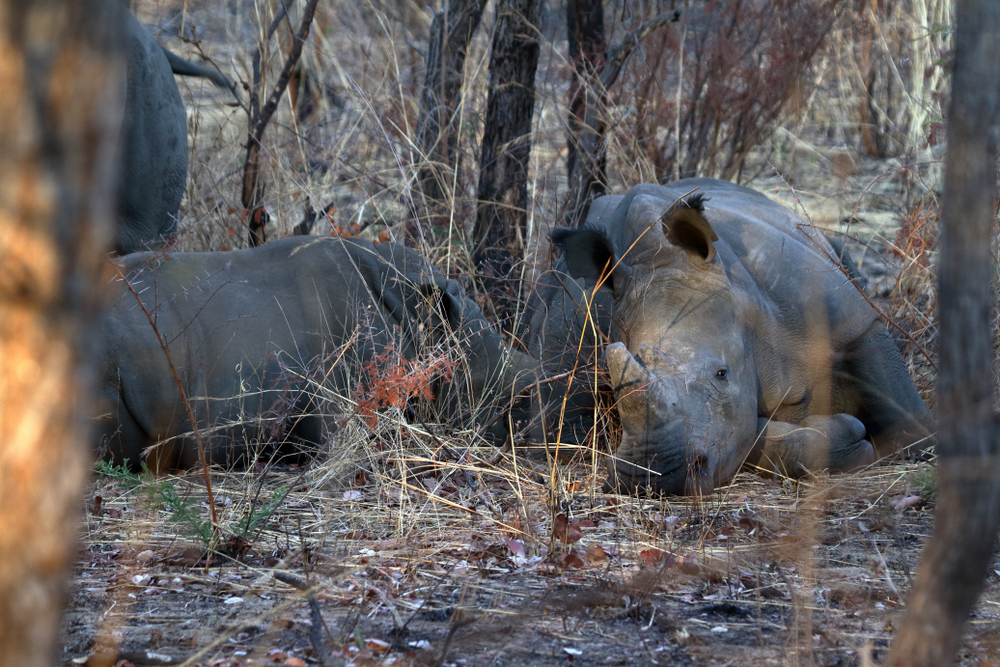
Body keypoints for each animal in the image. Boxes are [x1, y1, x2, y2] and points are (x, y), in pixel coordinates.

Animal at [532, 177, 936, 496]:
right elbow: (751, 437)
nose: (652, 476)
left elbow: (911, 427)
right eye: (614, 391)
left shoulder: (856, 322)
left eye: (722, 374)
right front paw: (841, 436)